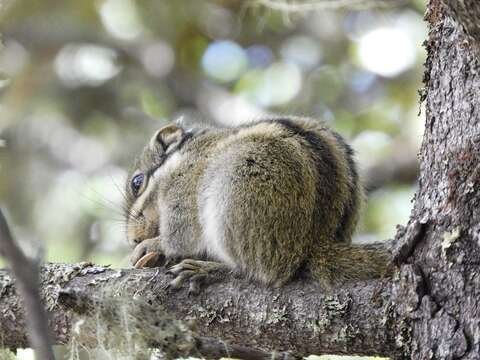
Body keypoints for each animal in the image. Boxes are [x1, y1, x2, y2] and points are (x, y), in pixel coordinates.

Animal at [124, 117, 390, 290]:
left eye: (137, 183)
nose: (133, 239)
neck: (183, 155)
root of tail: (316, 245)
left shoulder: (182, 190)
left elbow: (181, 237)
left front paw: (152, 246)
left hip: (236, 197)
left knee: (259, 271)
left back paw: (208, 270)